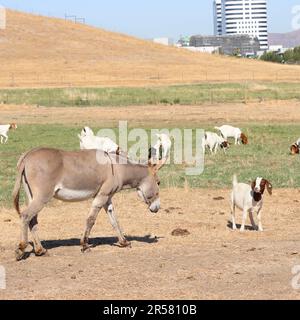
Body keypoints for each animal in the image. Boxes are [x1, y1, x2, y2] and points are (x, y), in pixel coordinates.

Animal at [12, 148, 166, 260]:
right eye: (158, 182)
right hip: (43, 196)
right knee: (25, 216)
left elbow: (114, 220)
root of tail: (27, 155)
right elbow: (91, 220)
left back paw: (40, 250)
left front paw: (124, 242)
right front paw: (85, 245)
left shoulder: (107, 198)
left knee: (32, 219)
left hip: (32, 196)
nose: (157, 208)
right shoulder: (102, 196)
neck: (117, 169)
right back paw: (21, 249)